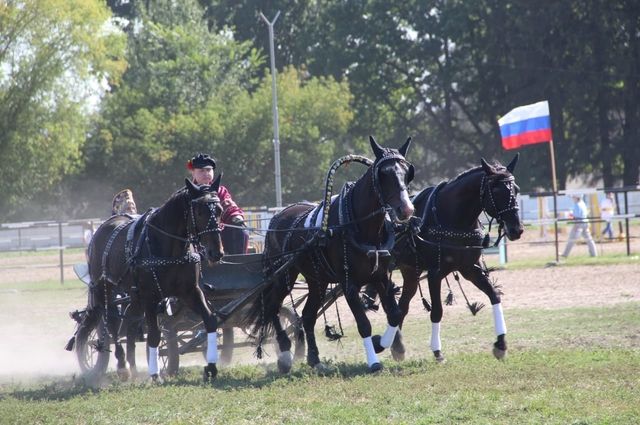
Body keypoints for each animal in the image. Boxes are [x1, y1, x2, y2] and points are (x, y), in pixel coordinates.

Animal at [85, 176, 225, 380]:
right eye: (199, 212)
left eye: (220, 210)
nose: (217, 252)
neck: (168, 246)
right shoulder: (150, 297)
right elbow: (154, 335)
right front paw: (155, 374)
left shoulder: (191, 292)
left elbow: (210, 320)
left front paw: (212, 367)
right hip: (105, 290)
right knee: (112, 324)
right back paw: (122, 366)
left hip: (133, 295)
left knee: (130, 324)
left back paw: (134, 368)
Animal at [245, 136, 416, 372]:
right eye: (383, 174)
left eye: (407, 172)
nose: (407, 210)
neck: (360, 226)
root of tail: (277, 217)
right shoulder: (349, 283)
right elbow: (364, 324)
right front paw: (374, 361)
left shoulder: (380, 276)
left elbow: (395, 314)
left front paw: (385, 345)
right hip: (283, 277)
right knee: (272, 308)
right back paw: (286, 354)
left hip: (317, 280)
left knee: (307, 316)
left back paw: (314, 359)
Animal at [390, 155, 520, 362]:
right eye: (496, 191)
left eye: (516, 189)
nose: (517, 229)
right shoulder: (435, 274)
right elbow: (437, 311)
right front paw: (437, 351)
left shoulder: (470, 268)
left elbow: (494, 295)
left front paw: (501, 343)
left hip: (410, 271)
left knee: (402, 305)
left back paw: (396, 345)